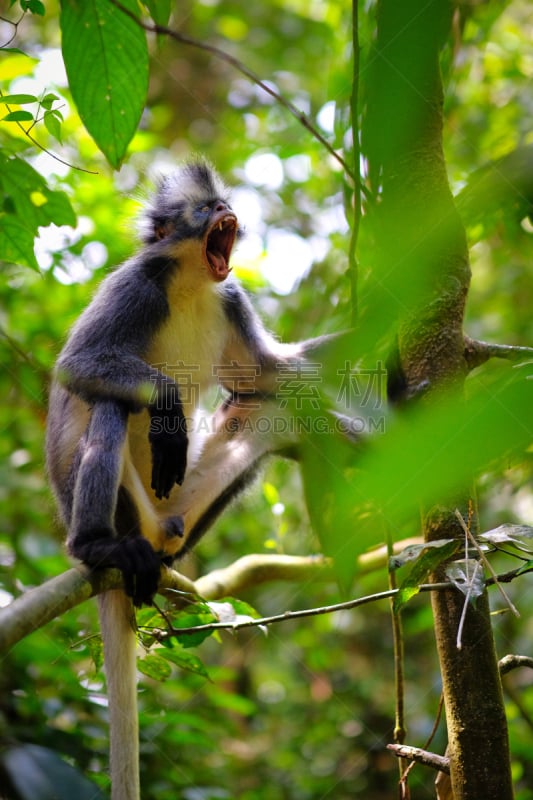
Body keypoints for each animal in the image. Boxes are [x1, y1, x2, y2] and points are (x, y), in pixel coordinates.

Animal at [46, 162, 344, 800]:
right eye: (205, 210)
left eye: (223, 203)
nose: (227, 213)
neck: (188, 281)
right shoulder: (138, 285)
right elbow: (77, 367)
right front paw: (165, 407)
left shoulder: (229, 298)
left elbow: (273, 374)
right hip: (125, 504)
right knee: (110, 404)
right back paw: (95, 544)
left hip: (181, 508)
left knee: (269, 404)